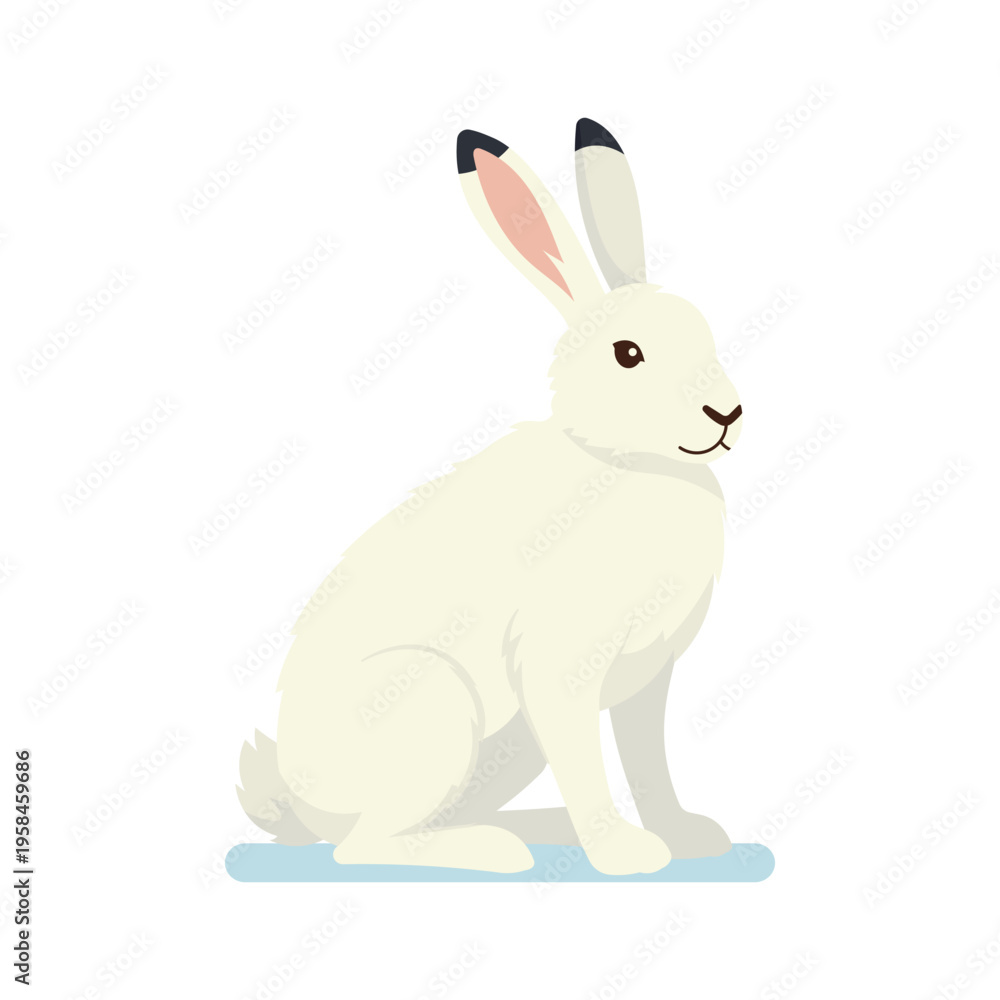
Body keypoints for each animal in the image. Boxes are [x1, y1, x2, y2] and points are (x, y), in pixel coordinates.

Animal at [237, 118, 743, 874]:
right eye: (628, 354)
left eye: (706, 332)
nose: (726, 414)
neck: (619, 458)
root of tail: (300, 803)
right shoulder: (560, 667)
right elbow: (588, 761)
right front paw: (625, 855)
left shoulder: (647, 681)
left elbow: (648, 760)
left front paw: (684, 836)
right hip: (434, 708)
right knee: (362, 848)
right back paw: (497, 853)